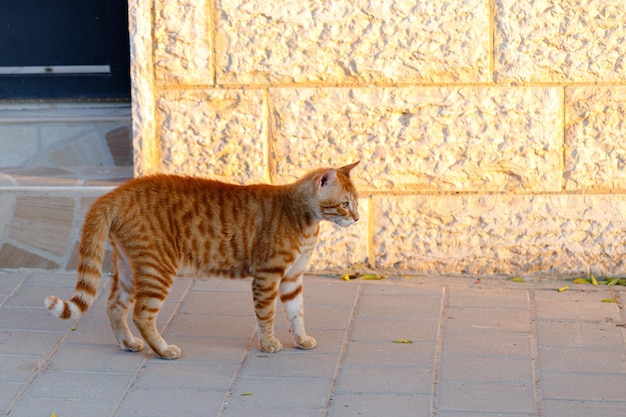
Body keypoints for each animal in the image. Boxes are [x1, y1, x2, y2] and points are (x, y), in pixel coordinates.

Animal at [45, 162, 360, 358]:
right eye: (345, 204)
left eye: (356, 203)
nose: (357, 218)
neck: (305, 222)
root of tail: (116, 191)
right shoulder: (267, 275)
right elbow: (267, 314)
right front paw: (269, 343)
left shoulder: (292, 278)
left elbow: (297, 314)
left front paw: (301, 339)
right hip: (157, 269)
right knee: (141, 314)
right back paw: (163, 351)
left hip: (128, 271)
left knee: (114, 307)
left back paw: (129, 344)